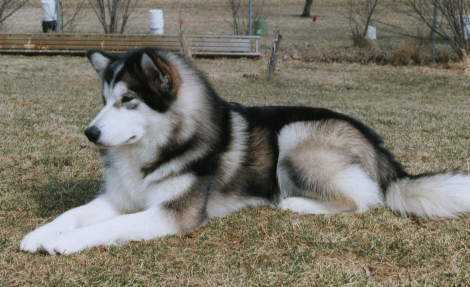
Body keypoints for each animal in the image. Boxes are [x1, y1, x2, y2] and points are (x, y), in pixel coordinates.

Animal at [19, 47, 470, 256]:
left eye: (128, 100)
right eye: (104, 99)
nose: (90, 132)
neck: (152, 151)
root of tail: (378, 146)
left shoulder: (174, 213)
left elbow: (108, 227)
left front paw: (64, 243)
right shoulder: (119, 198)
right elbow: (72, 214)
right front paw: (40, 234)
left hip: (294, 135)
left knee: (367, 198)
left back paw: (296, 204)